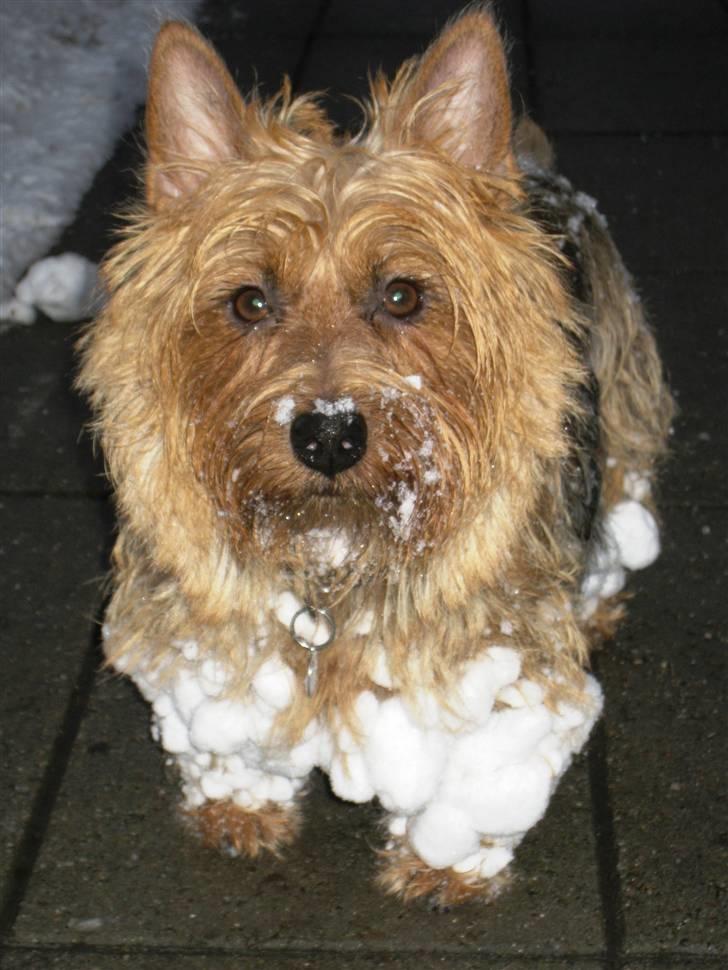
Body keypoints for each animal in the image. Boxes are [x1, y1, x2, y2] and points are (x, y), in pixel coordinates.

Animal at [78, 7, 672, 904]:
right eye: (248, 302)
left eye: (403, 295)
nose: (328, 432)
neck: (335, 551)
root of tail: (532, 164)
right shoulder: (209, 626)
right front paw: (240, 806)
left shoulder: (486, 653)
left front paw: (443, 864)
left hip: (621, 387)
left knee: (621, 491)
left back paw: (596, 604)